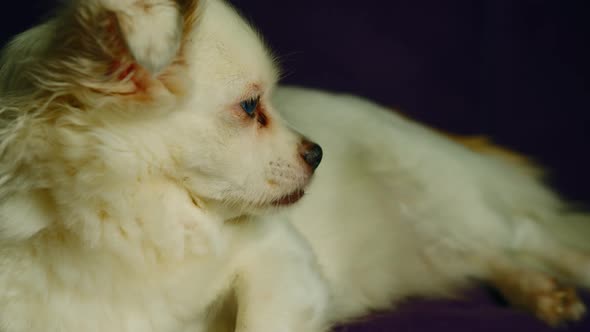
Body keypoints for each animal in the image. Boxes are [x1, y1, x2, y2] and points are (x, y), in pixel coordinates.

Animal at [1, 0, 590, 332]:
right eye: (250, 107)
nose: (317, 152)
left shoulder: (281, 258)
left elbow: (260, 319)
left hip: (445, 204)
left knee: (534, 236)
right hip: (441, 243)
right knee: (492, 257)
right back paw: (538, 291)